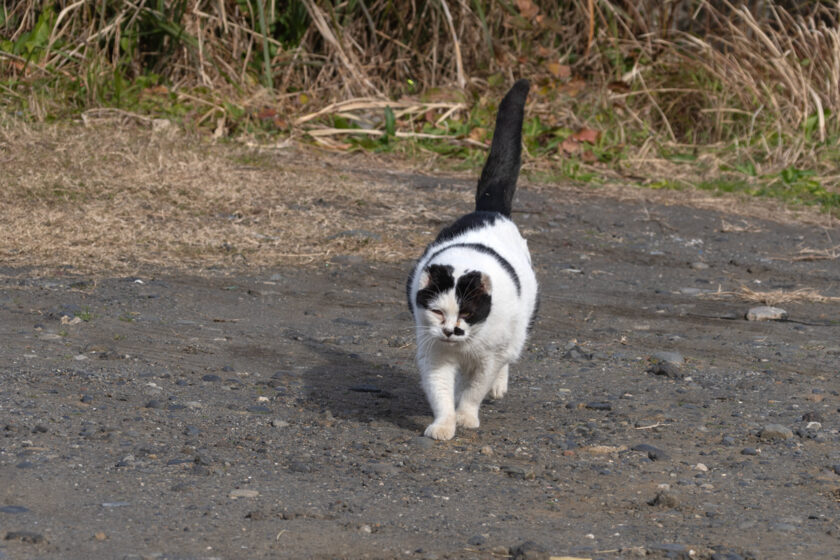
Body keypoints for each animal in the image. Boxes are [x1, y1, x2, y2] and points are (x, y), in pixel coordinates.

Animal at [406, 79, 540, 440]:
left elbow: (475, 389)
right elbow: (440, 392)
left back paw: (498, 387)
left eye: (466, 312)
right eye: (438, 311)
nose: (452, 330)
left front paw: (466, 416)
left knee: (508, 358)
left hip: (518, 327)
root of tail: (489, 211)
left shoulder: (487, 358)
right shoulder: (433, 353)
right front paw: (444, 424)